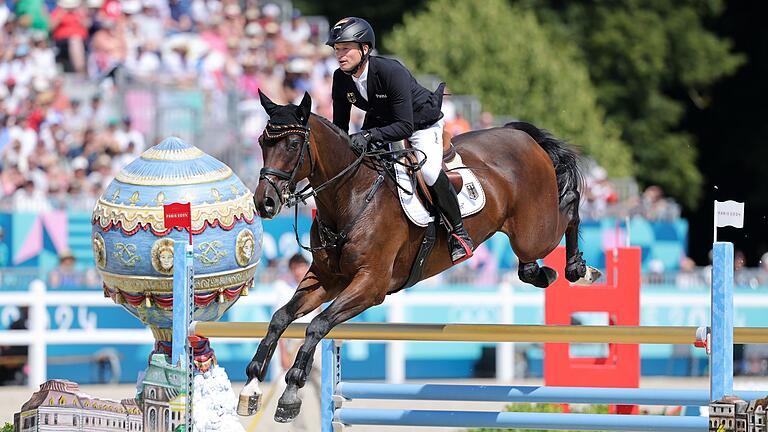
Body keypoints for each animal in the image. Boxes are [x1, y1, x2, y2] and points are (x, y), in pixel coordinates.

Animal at [240, 89, 600, 424]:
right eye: (261, 142)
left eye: (291, 145)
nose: (264, 203)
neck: (350, 195)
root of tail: (522, 136)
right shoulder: (326, 280)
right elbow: (281, 317)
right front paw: (253, 382)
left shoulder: (371, 285)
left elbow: (317, 325)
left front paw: (291, 391)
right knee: (532, 258)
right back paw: (540, 273)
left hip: (534, 232)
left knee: (569, 205)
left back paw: (578, 269)